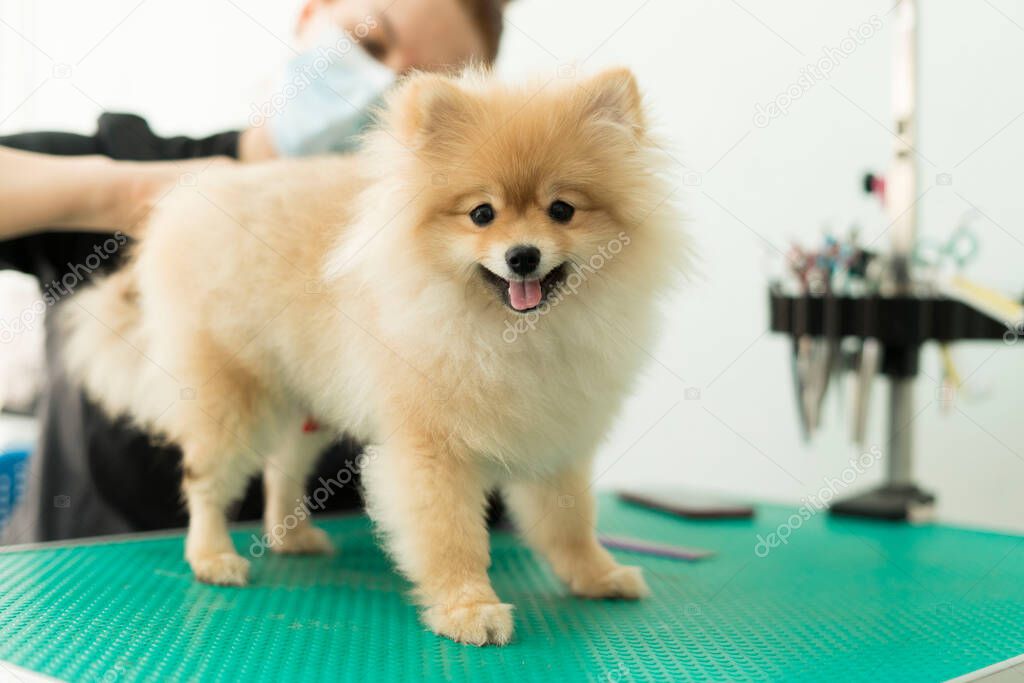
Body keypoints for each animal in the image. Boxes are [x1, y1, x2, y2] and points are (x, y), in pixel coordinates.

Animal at [66, 69, 688, 647]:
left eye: (562, 210)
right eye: (481, 214)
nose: (522, 256)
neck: (514, 334)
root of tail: (184, 207)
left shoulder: (557, 437)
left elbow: (571, 521)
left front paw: (597, 575)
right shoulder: (431, 448)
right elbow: (450, 533)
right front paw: (468, 607)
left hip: (307, 403)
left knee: (281, 468)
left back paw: (292, 536)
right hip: (233, 395)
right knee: (206, 481)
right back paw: (212, 555)